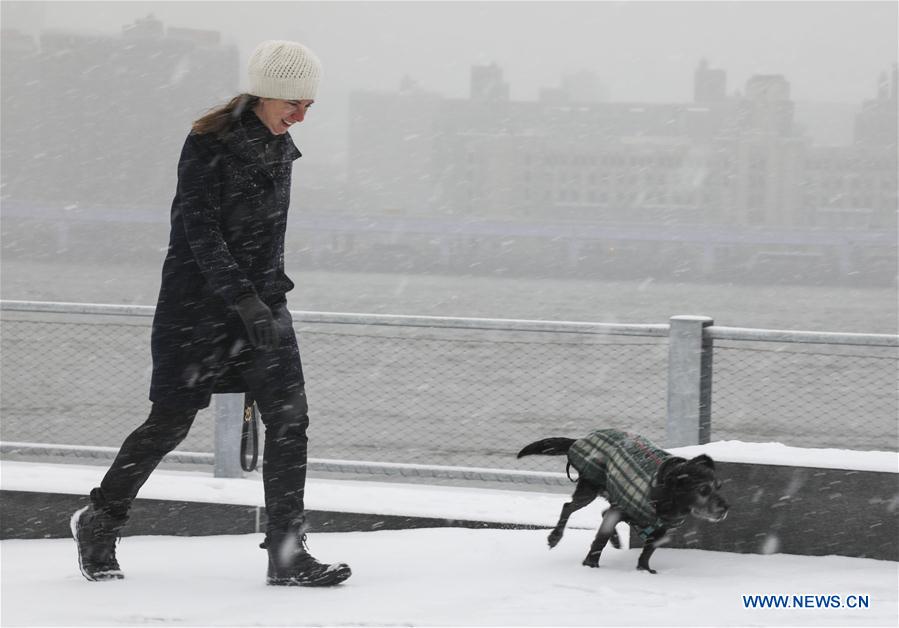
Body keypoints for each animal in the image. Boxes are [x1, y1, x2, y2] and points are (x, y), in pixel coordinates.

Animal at [516, 430, 728, 572]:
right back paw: (555, 537)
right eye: (703, 490)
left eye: (719, 486)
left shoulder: (661, 528)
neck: (664, 495)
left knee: (600, 511)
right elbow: (600, 538)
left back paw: (616, 540)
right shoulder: (620, 509)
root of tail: (582, 439)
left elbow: (648, 549)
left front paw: (644, 570)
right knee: (568, 507)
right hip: (590, 488)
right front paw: (590, 565)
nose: (726, 508)